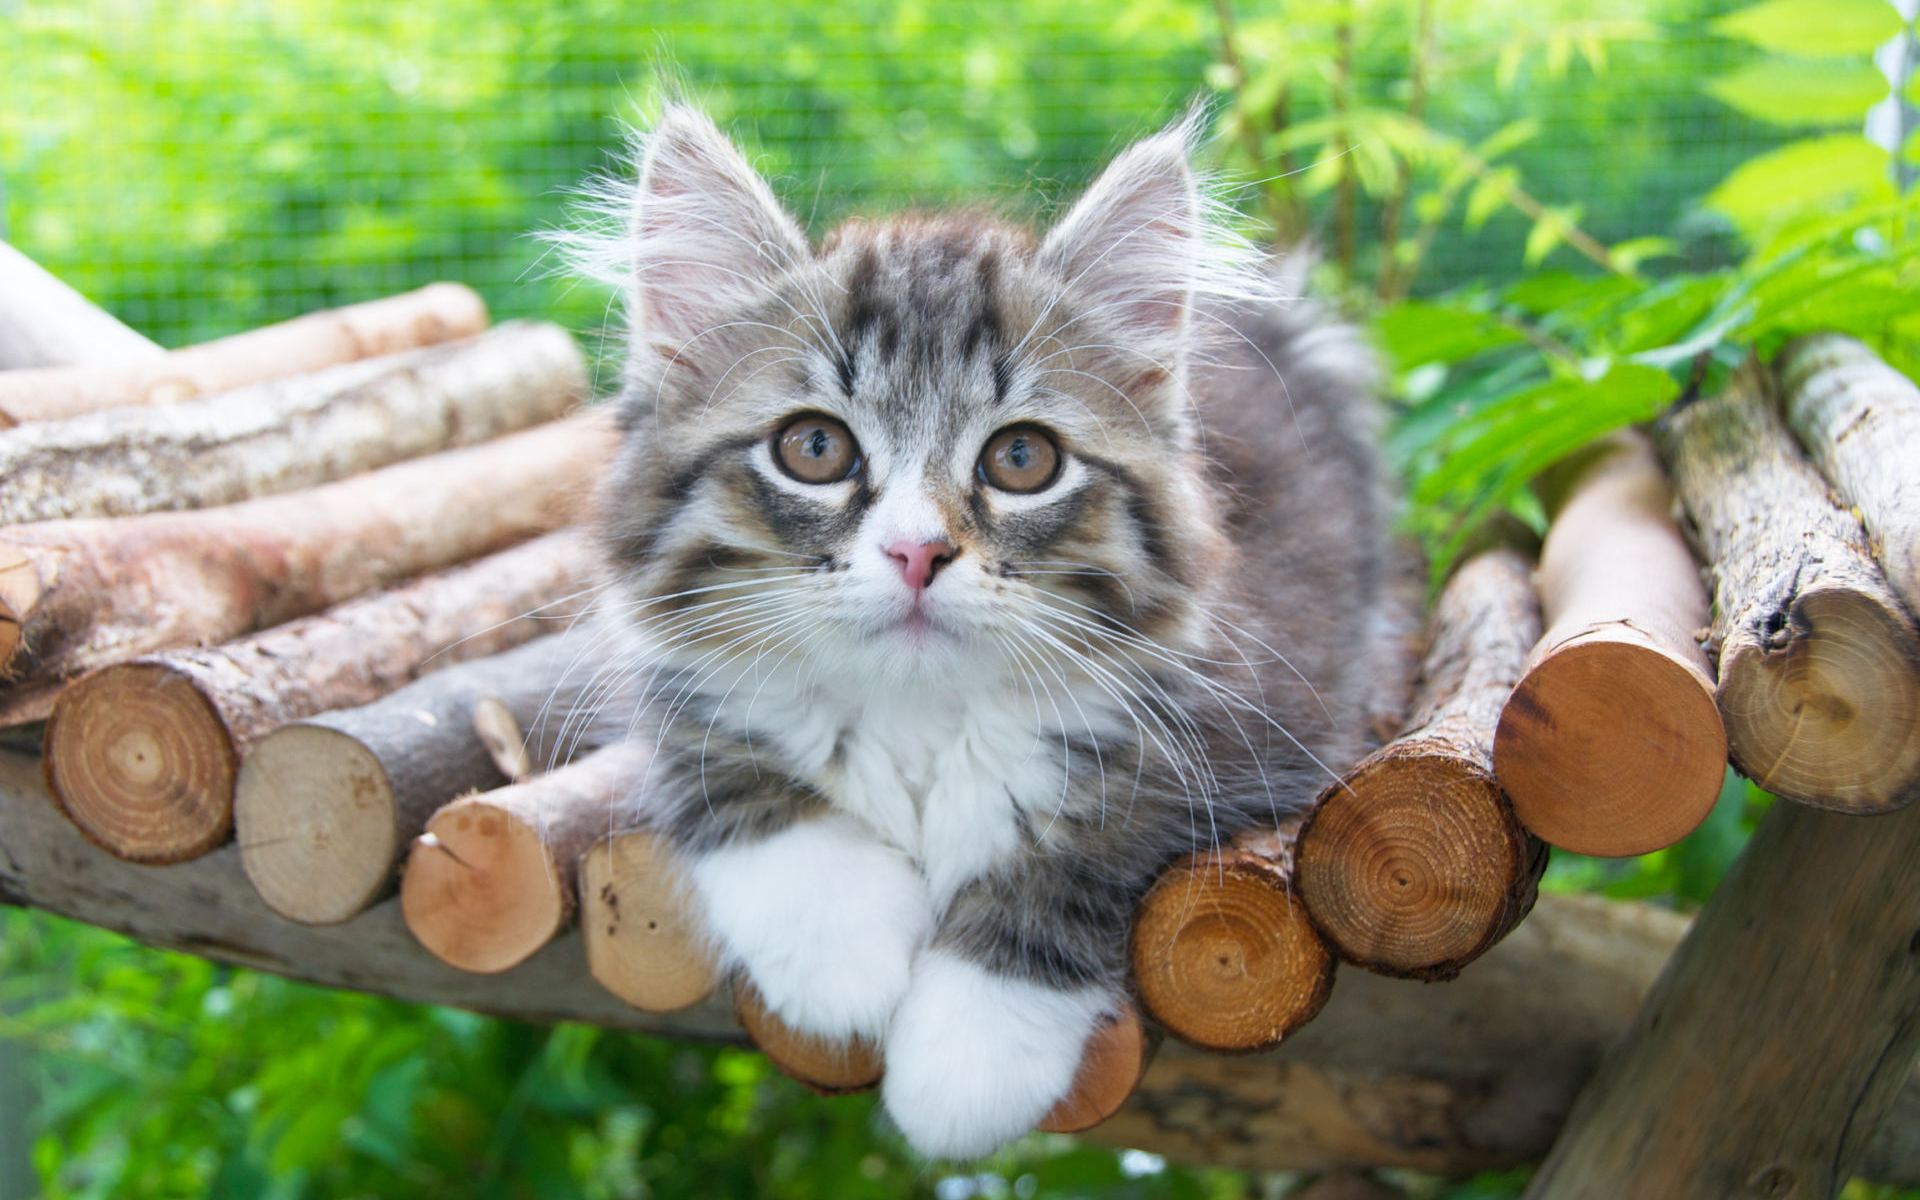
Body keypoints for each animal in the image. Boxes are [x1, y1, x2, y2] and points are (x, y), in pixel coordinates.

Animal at [576, 105, 1390, 1159]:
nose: (919, 552)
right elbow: (722, 769)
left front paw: (968, 1055)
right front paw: (840, 953)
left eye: (1020, 459)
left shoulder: (1275, 689)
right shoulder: (665, 686)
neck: (920, 715)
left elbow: (1096, 840)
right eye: (815, 447)